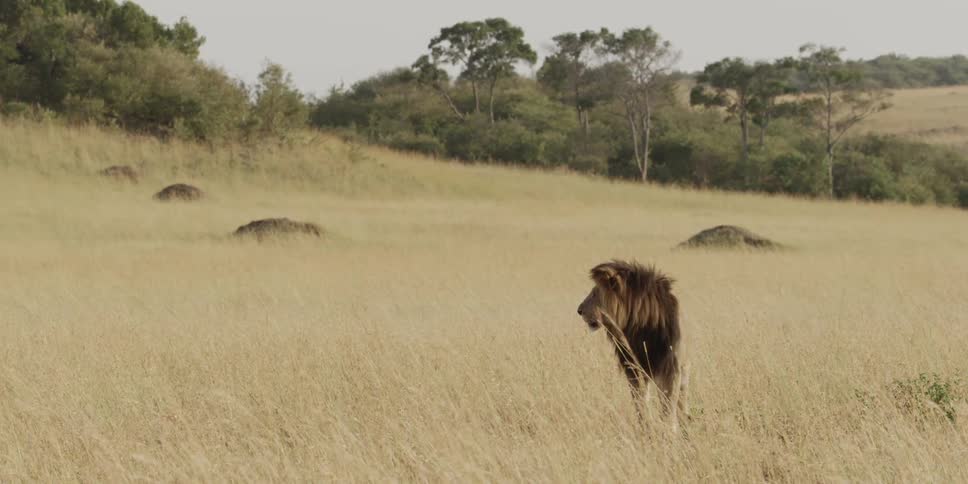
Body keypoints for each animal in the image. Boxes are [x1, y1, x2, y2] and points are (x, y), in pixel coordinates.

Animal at [577, 260, 689, 429]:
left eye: (595, 293)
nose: (579, 310)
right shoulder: (634, 369)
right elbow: (640, 403)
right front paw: (646, 428)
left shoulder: (671, 368)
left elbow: (668, 407)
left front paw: (669, 431)